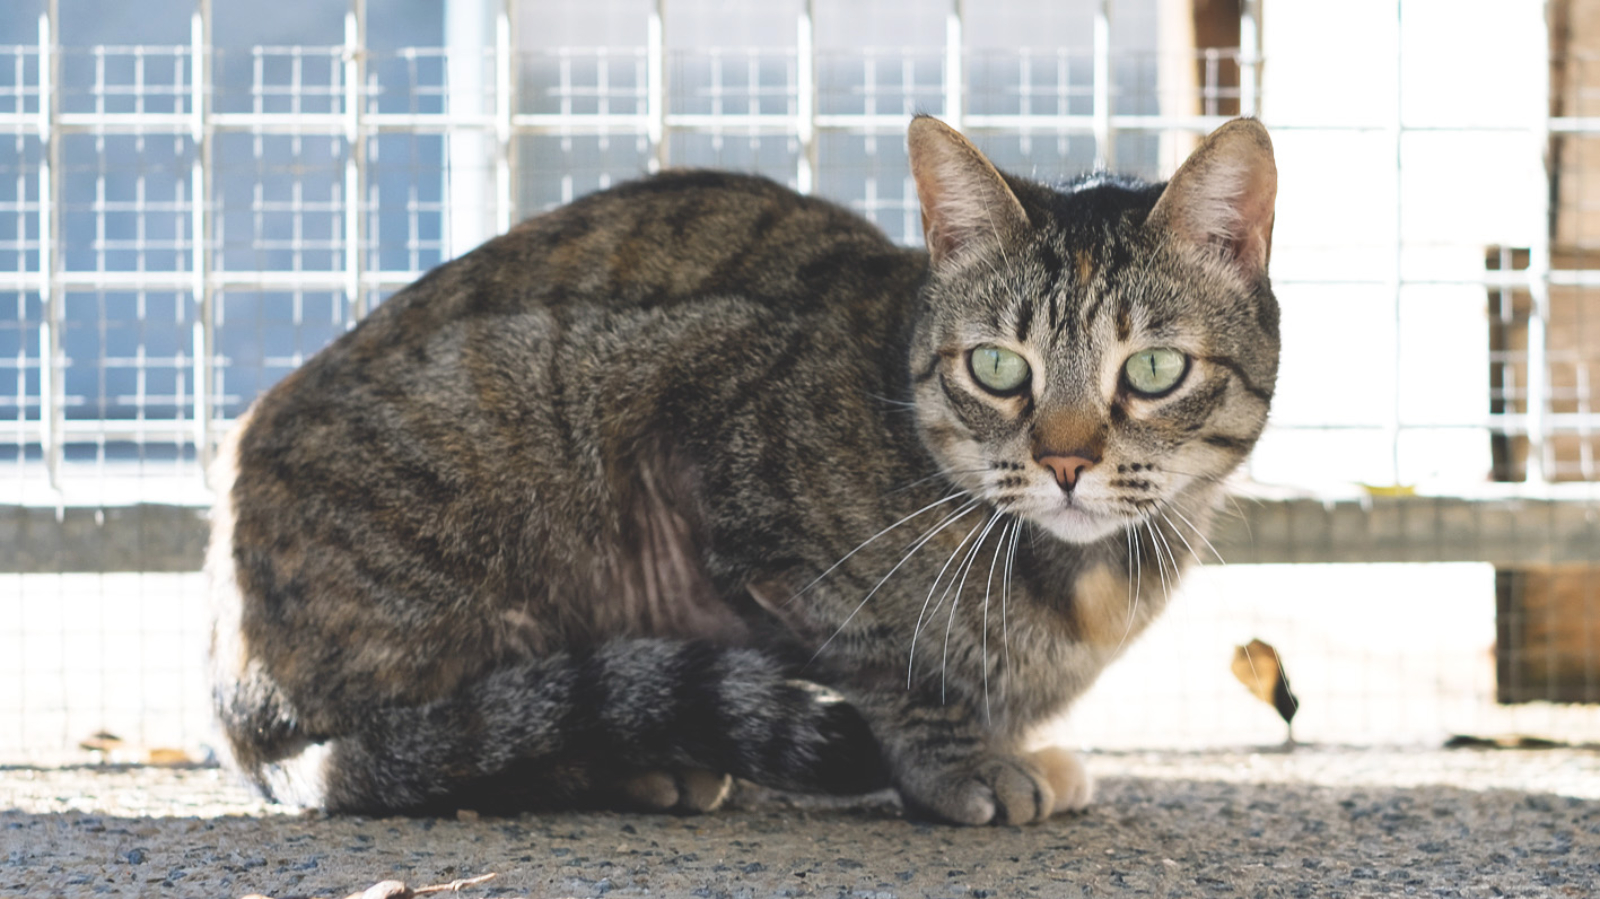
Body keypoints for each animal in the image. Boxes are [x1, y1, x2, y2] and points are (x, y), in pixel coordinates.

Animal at [205, 115, 1278, 825]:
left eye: (1152, 370)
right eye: (998, 368)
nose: (1063, 460)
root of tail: (230, 702)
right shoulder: (723, 464)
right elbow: (887, 663)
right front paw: (964, 760)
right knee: (427, 751)